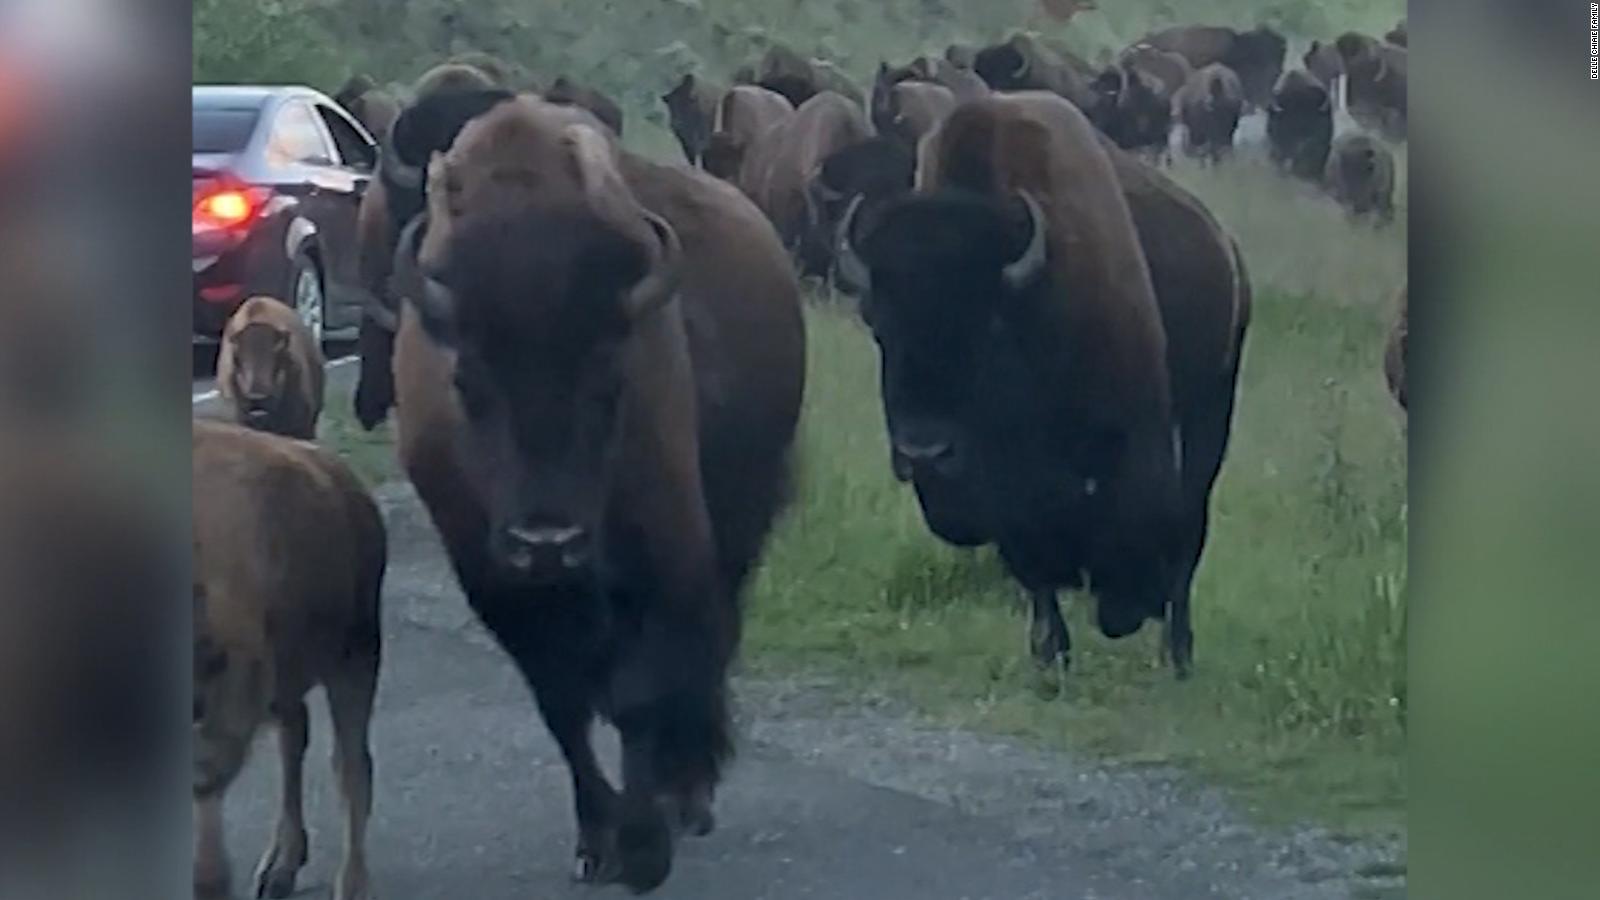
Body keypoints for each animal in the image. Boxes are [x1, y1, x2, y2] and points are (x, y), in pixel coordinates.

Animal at [395, 99, 806, 890]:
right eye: (467, 381)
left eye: (611, 377)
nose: (546, 541)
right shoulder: (496, 582)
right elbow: (563, 705)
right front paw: (597, 841)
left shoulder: (662, 547)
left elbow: (640, 690)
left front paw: (643, 849)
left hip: (738, 523)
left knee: (709, 647)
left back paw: (688, 792)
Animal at [838, 92, 1248, 679]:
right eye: (879, 325)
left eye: (988, 326)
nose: (924, 452)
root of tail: (1226, 247)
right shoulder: (1010, 493)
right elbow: (1032, 560)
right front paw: (1050, 652)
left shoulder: (1132, 433)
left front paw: (1124, 609)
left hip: (1212, 407)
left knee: (1191, 525)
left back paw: (1178, 652)